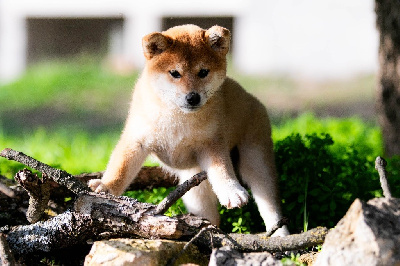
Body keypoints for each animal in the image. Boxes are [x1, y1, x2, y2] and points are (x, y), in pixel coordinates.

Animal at [88, 25, 288, 236]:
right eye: (175, 73)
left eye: (203, 72)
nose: (193, 97)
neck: (176, 116)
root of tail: (254, 100)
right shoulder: (136, 139)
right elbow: (121, 168)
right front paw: (105, 187)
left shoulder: (212, 143)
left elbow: (222, 169)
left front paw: (231, 191)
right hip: (195, 190)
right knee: (211, 215)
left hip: (256, 161)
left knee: (269, 203)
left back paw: (279, 234)